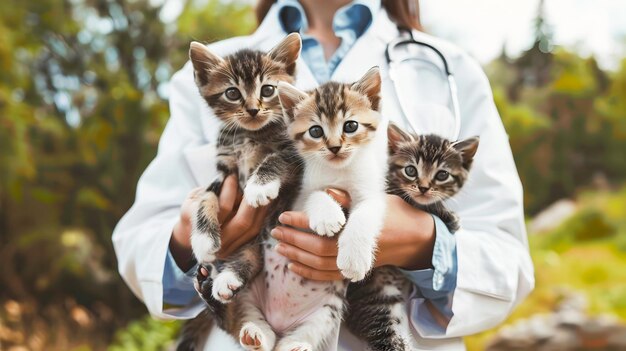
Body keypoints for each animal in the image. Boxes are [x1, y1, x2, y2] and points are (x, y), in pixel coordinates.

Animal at [224, 66, 388, 351]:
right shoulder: (296, 199)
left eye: (351, 126)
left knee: (303, 333)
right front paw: (328, 216)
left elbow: (364, 216)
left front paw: (354, 259)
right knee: (251, 317)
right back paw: (253, 332)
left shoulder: (372, 195)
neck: (339, 171)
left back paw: (295, 344)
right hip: (249, 294)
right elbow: (315, 195)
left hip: (326, 312)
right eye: (315, 131)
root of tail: (279, 322)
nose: (334, 147)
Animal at [344, 121, 480, 351]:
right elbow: (415, 201)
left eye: (442, 175)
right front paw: (447, 215)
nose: (424, 188)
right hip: (375, 297)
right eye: (410, 170)